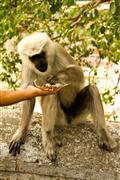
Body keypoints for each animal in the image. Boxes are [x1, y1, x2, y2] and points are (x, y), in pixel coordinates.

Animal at [8, 32, 116, 160]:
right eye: (33, 58)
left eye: (41, 54)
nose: (40, 63)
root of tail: (68, 121)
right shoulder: (27, 66)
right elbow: (29, 96)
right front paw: (20, 134)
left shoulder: (57, 49)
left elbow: (79, 73)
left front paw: (57, 77)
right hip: (59, 117)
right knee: (51, 94)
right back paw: (48, 136)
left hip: (77, 116)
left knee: (92, 89)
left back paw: (103, 134)